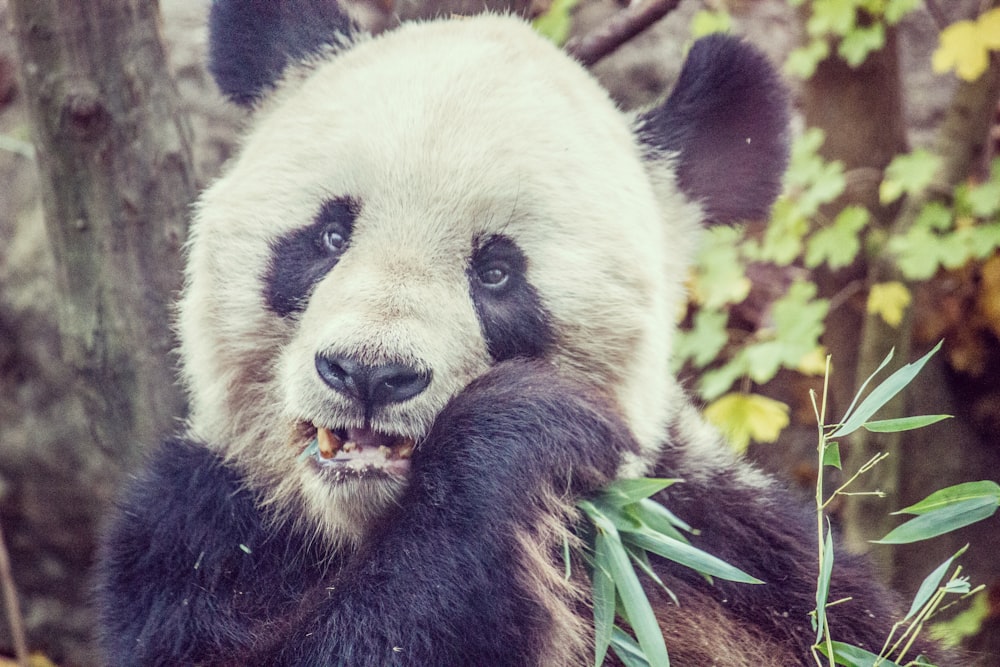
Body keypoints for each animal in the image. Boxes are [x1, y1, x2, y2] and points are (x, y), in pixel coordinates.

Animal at [94, 1, 944, 667]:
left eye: (497, 272)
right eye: (329, 235)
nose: (369, 373)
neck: (355, 525)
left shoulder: (736, 552)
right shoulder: (195, 534)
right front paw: (520, 425)